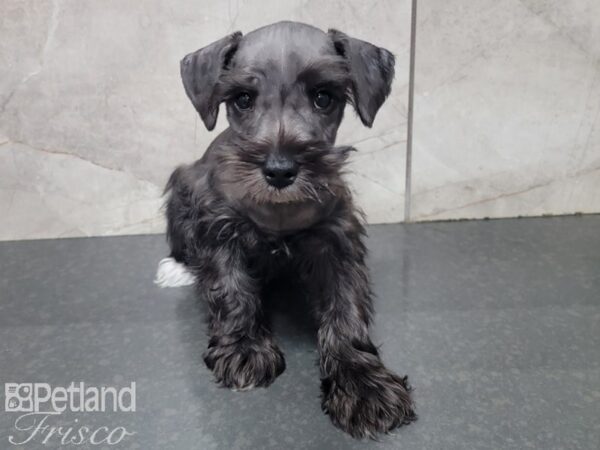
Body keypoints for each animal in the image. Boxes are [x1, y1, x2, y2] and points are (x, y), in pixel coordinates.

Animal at [157, 22, 414, 440]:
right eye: (243, 99)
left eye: (324, 97)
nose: (279, 170)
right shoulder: (220, 230)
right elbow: (231, 289)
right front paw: (244, 347)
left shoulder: (336, 241)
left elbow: (346, 310)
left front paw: (362, 383)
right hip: (182, 187)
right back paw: (177, 268)